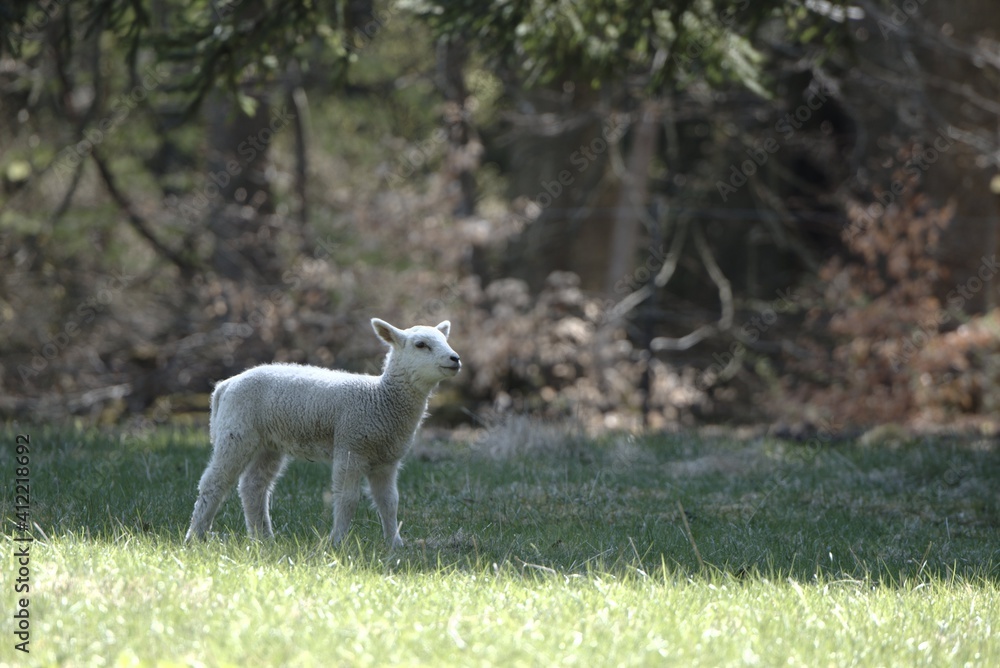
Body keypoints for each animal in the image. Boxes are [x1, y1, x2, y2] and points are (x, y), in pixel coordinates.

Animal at [185, 318, 461, 547]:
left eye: (445, 340)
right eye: (421, 345)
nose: (455, 358)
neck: (381, 399)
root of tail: (225, 385)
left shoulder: (386, 460)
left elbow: (390, 502)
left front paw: (395, 544)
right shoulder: (350, 446)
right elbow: (347, 498)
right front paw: (338, 543)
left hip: (268, 443)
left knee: (253, 486)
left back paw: (264, 539)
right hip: (236, 432)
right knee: (214, 483)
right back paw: (196, 537)